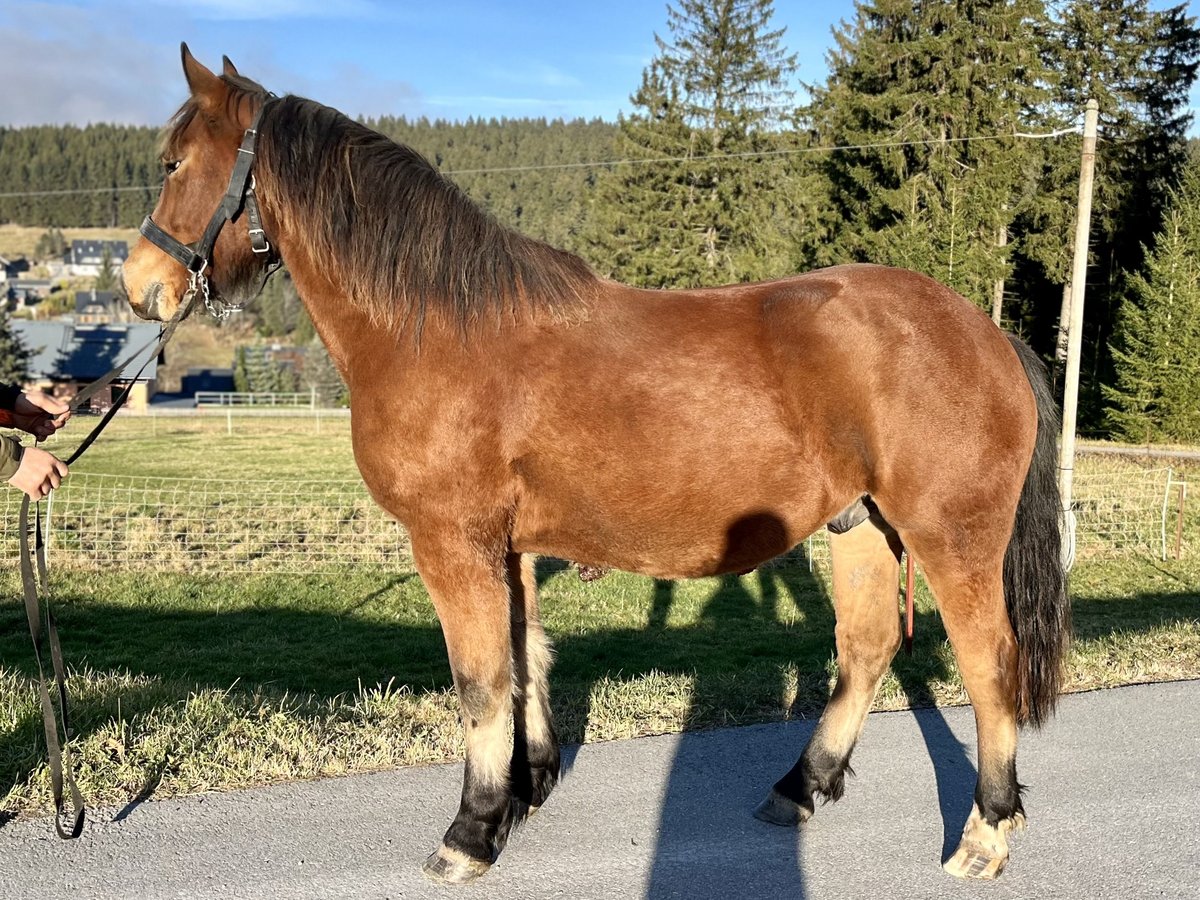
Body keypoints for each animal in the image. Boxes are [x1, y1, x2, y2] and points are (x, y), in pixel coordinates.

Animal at [121, 45, 1070, 883]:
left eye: (172, 162)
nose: (139, 286)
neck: (435, 329)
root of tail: (986, 334)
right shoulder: (506, 546)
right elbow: (525, 658)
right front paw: (524, 787)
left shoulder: (452, 541)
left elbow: (479, 682)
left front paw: (470, 832)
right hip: (862, 526)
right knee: (866, 648)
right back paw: (801, 787)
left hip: (951, 537)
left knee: (990, 662)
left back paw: (985, 833)